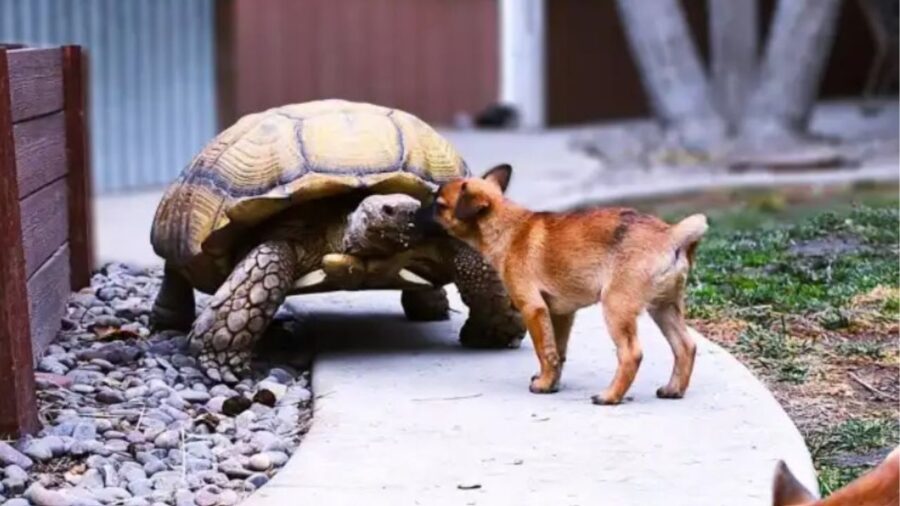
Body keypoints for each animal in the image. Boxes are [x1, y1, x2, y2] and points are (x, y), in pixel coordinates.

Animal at [422, 164, 712, 406]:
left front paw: (543, 383)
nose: (419, 210)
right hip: (664, 308)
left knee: (631, 354)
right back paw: (673, 389)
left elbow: (544, 351)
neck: (508, 226)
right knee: (685, 346)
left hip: (616, 308)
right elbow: (557, 352)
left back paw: (610, 396)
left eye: (439, 205)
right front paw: (552, 381)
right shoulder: (560, 314)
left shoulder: (533, 309)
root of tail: (671, 236)